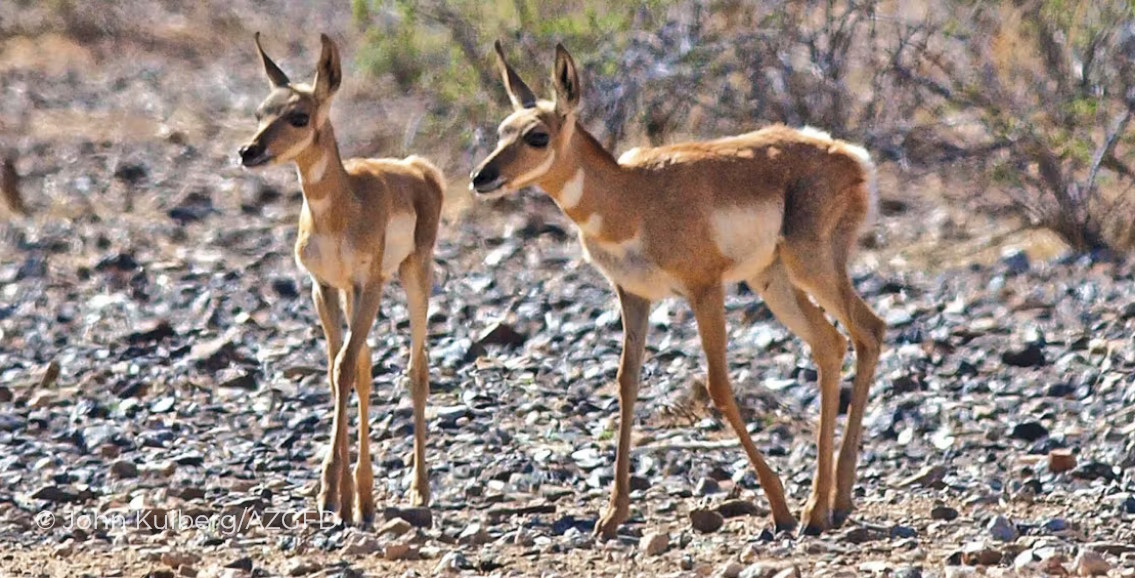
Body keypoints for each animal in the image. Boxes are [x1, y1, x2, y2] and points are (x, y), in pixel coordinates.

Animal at [237, 32, 445, 526]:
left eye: (299, 115)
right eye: (260, 112)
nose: (249, 152)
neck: (341, 208)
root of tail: (418, 169)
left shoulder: (369, 285)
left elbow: (345, 367)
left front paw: (336, 491)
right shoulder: (325, 288)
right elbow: (340, 371)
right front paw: (339, 494)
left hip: (415, 276)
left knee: (417, 369)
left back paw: (418, 490)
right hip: (357, 294)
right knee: (367, 367)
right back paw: (366, 495)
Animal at [469, 41, 886, 539]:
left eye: (537, 135)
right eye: (502, 130)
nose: (481, 178)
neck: (632, 198)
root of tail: (850, 155)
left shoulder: (704, 290)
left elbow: (719, 387)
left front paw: (778, 506)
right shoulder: (634, 296)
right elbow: (626, 382)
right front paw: (612, 515)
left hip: (812, 268)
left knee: (869, 332)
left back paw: (815, 510)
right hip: (774, 282)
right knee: (832, 344)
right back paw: (827, 506)